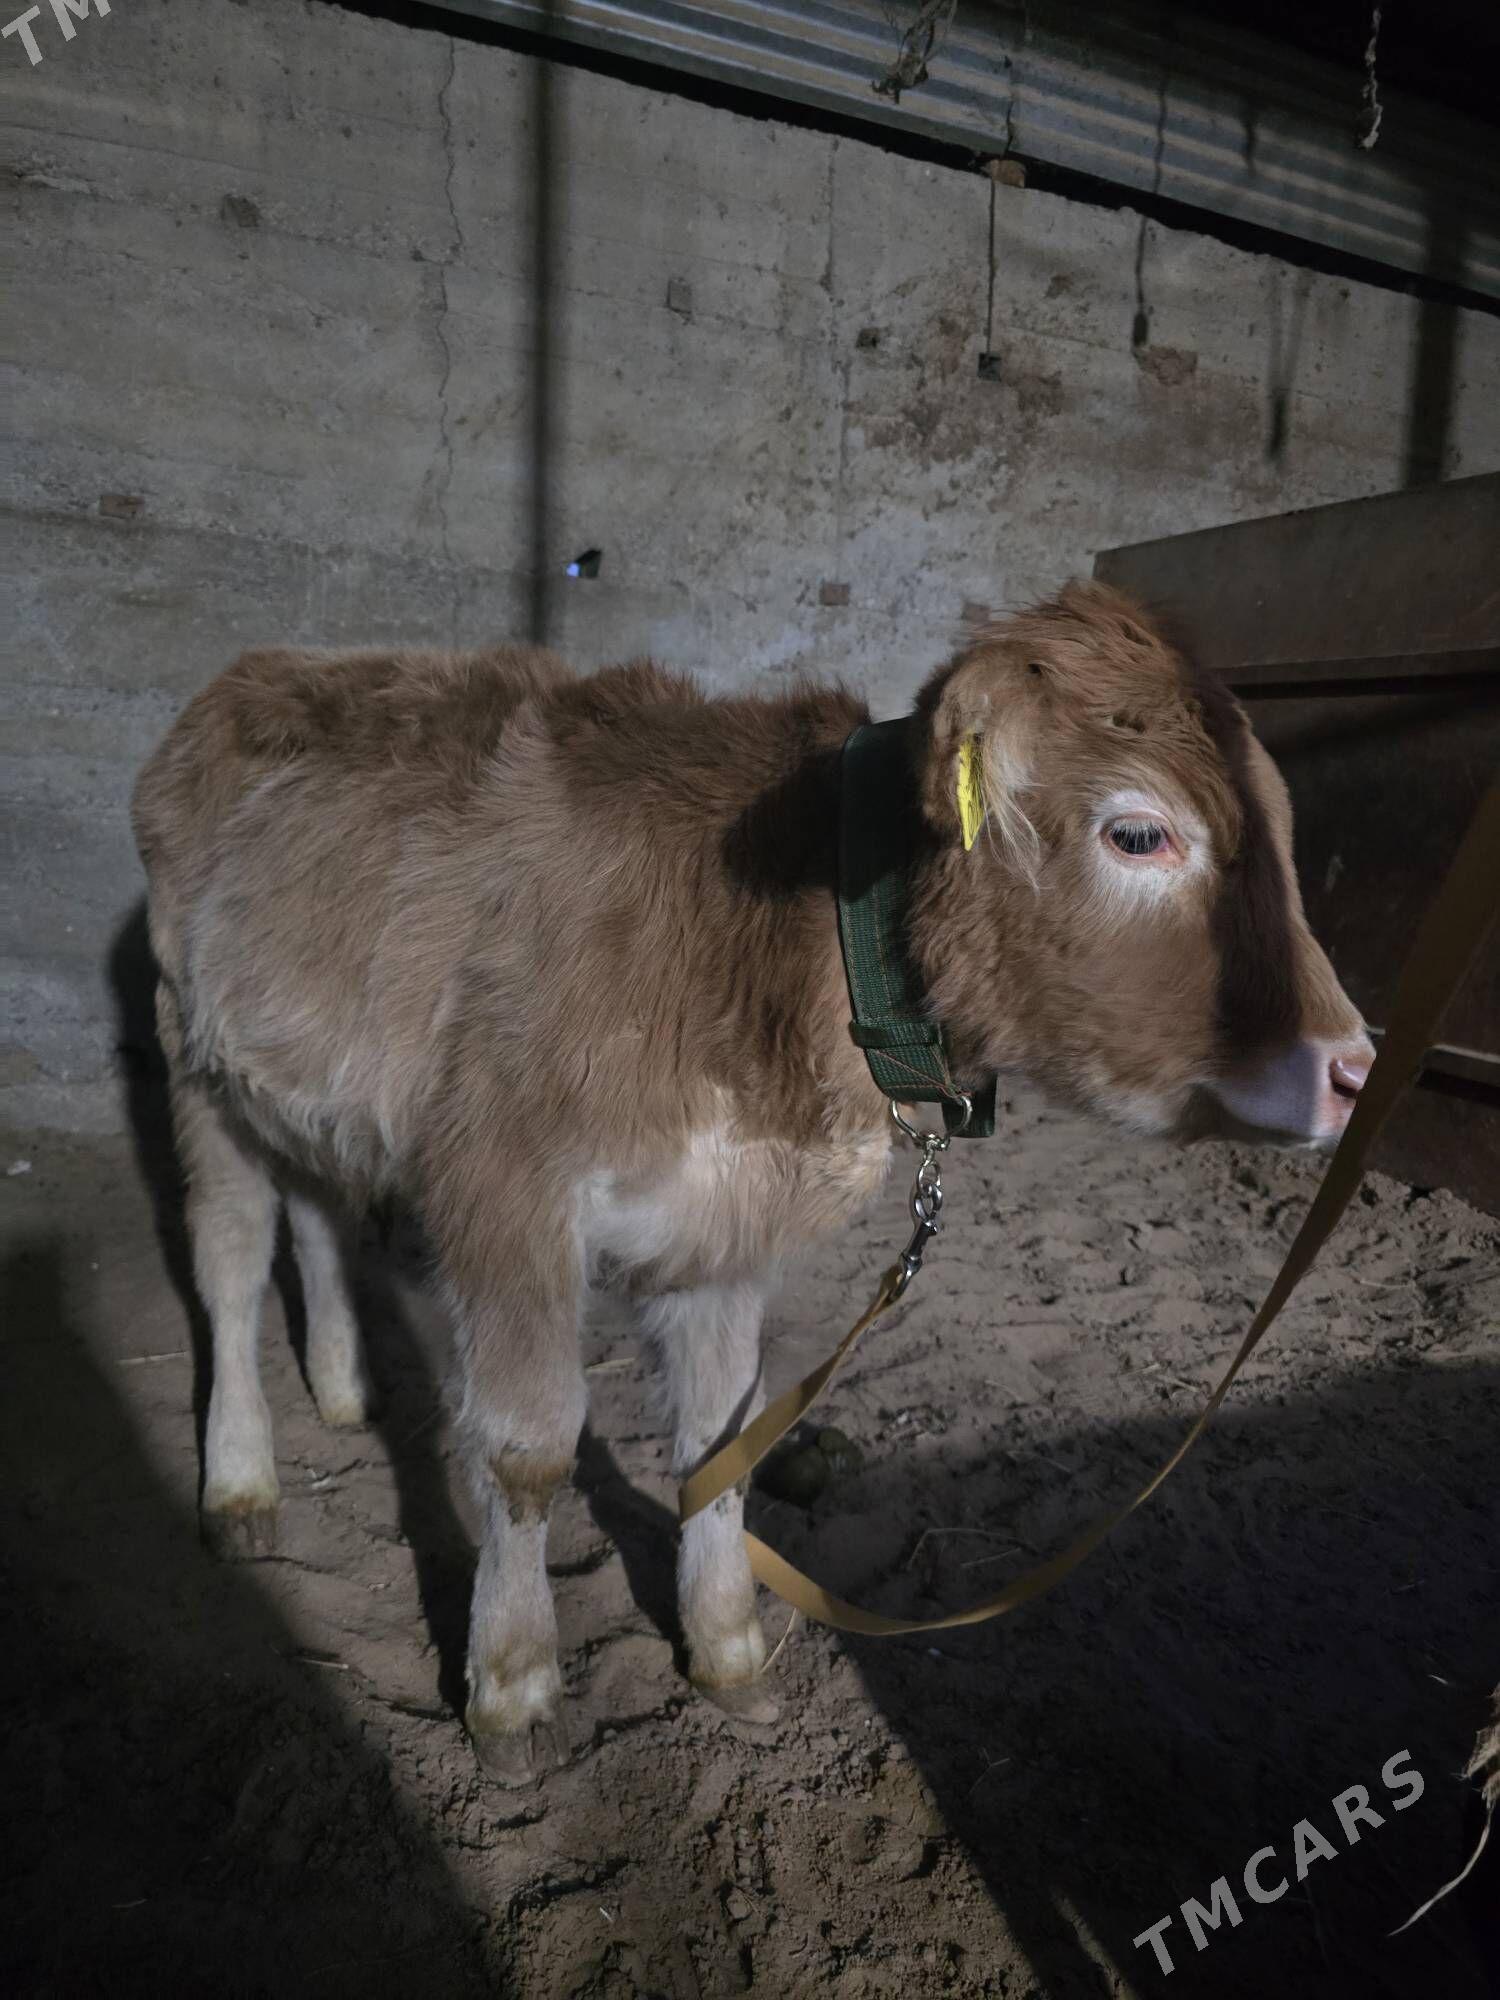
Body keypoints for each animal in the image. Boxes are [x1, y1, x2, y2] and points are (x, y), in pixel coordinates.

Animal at [132, 582, 1373, 1783]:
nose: (1355, 1065)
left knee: (316, 1207)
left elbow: (720, 1441)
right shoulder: (504, 1183)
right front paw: (514, 1681)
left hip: (309, 1086)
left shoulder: (725, 1215)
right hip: (194, 1056)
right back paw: (241, 1481)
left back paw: (343, 1384)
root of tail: (267, 668)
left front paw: (727, 1643)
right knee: (230, 1265)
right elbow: (529, 1452)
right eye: (1139, 832)